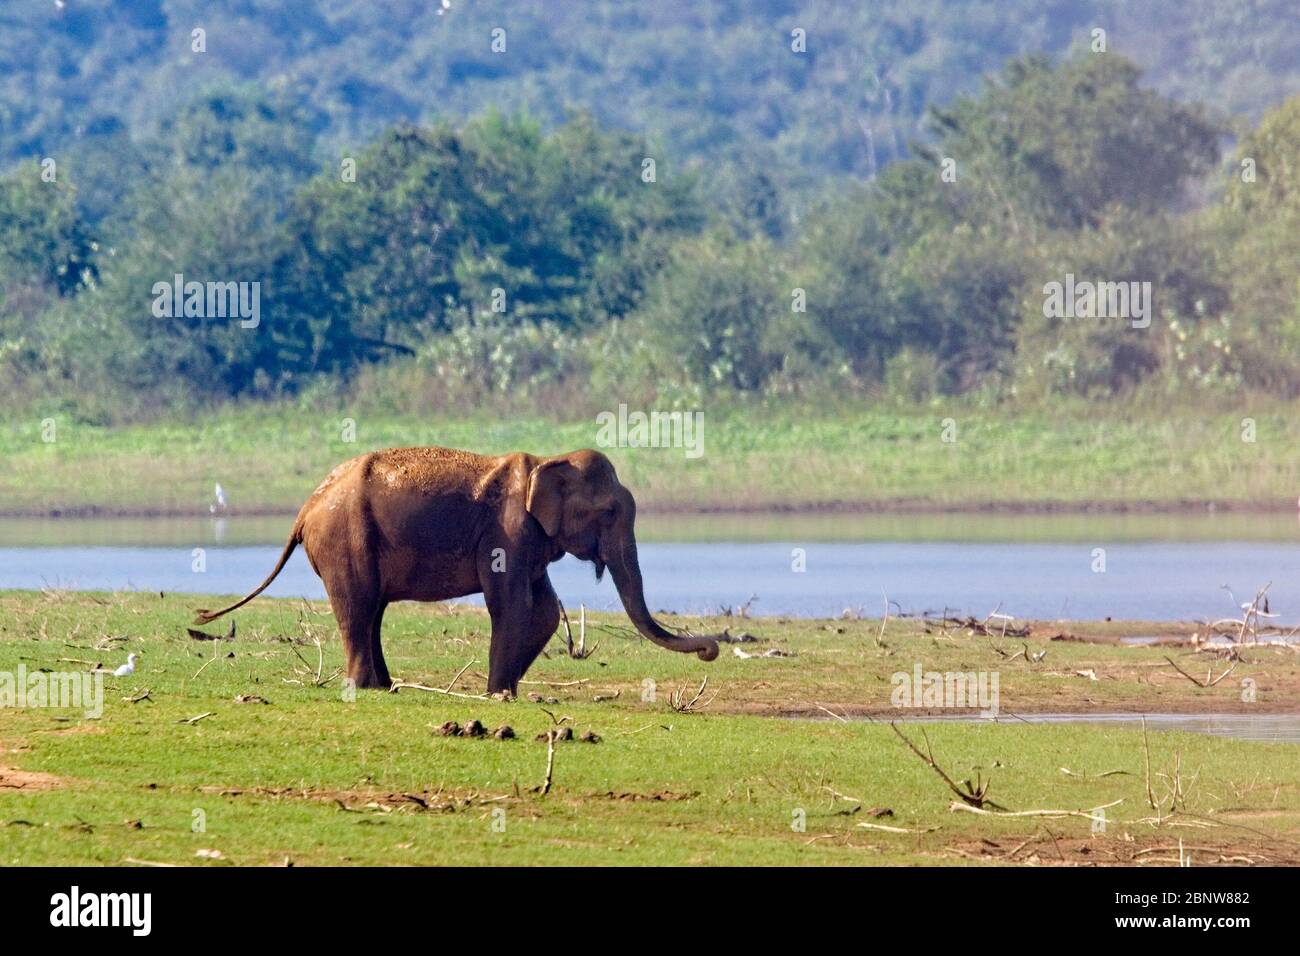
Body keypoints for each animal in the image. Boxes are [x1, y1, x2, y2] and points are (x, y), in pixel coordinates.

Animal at [194, 447, 719, 695]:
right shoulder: (508, 533)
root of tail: (305, 507)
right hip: (345, 538)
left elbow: (544, 610)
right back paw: (363, 687)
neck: (546, 461)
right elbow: (512, 604)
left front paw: (506, 689)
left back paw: (384, 686)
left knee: (373, 608)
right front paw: (499, 695)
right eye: (610, 512)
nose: (710, 649)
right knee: (358, 604)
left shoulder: (529, 541)